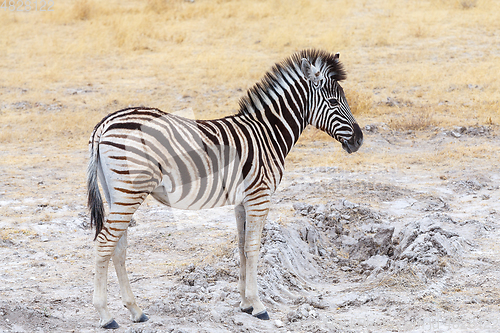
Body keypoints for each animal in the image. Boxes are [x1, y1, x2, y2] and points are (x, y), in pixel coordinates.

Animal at [87, 48, 364, 326]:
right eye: (333, 102)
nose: (359, 140)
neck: (268, 134)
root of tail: (105, 123)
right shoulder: (259, 197)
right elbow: (253, 248)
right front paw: (258, 305)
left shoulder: (242, 201)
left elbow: (241, 247)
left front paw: (245, 303)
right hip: (130, 191)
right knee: (104, 244)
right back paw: (105, 315)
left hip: (117, 194)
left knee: (118, 248)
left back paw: (135, 310)